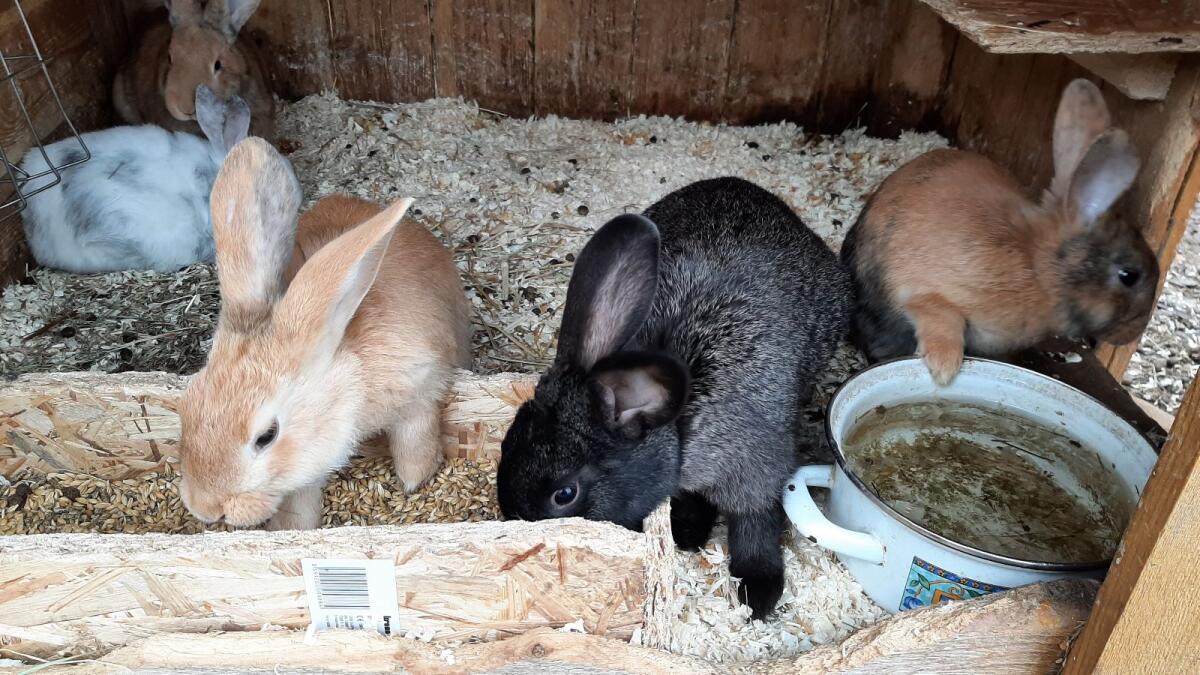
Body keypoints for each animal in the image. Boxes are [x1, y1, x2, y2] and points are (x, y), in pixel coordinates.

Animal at [176, 138, 470, 532]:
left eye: (266, 436)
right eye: (186, 404)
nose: (204, 508)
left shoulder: (422, 391)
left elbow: (414, 443)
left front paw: (413, 483)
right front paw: (292, 529)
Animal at [496, 177, 852, 620]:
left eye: (564, 494)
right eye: (506, 445)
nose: (516, 517)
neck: (679, 429)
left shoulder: (756, 469)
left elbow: (755, 523)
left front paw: (758, 593)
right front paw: (686, 531)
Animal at [840, 78, 1158, 385]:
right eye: (1129, 275)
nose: (1133, 332)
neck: (1036, 267)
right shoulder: (926, 291)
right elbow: (941, 317)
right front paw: (943, 368)